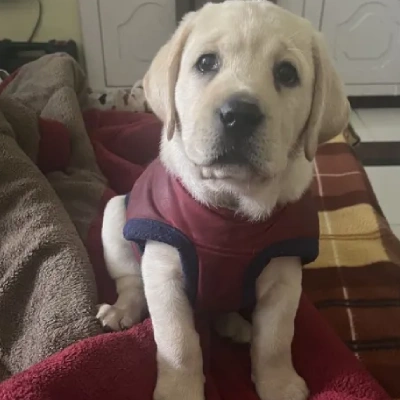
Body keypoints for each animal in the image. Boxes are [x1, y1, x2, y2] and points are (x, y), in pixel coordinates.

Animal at [98, 0, 348, 400]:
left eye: (287, 73)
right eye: (206, 63)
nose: (239, 115)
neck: (232, 206)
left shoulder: (284, 276)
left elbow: (276, 339)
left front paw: (279, 384)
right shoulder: (164, 272)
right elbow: (178, 342)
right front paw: (180, 390)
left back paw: (236, 325)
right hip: (114, 216)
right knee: (130, 280)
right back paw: (122, 311)